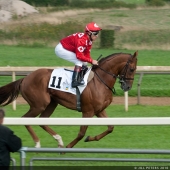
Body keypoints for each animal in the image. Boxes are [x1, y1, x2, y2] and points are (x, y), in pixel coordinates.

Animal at [0, 51, 137, 148]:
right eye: (132, 69)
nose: (127, 87)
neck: (100, 81)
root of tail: (25, 78)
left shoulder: (99, 110)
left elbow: (110, 128)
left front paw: (90, 138)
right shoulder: (88, 111)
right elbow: (81, 133)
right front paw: (69, 147)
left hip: (51, 103)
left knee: (42, 121)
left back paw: (59, 141)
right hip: (39, 104)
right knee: (26, 119)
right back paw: (38, 143)